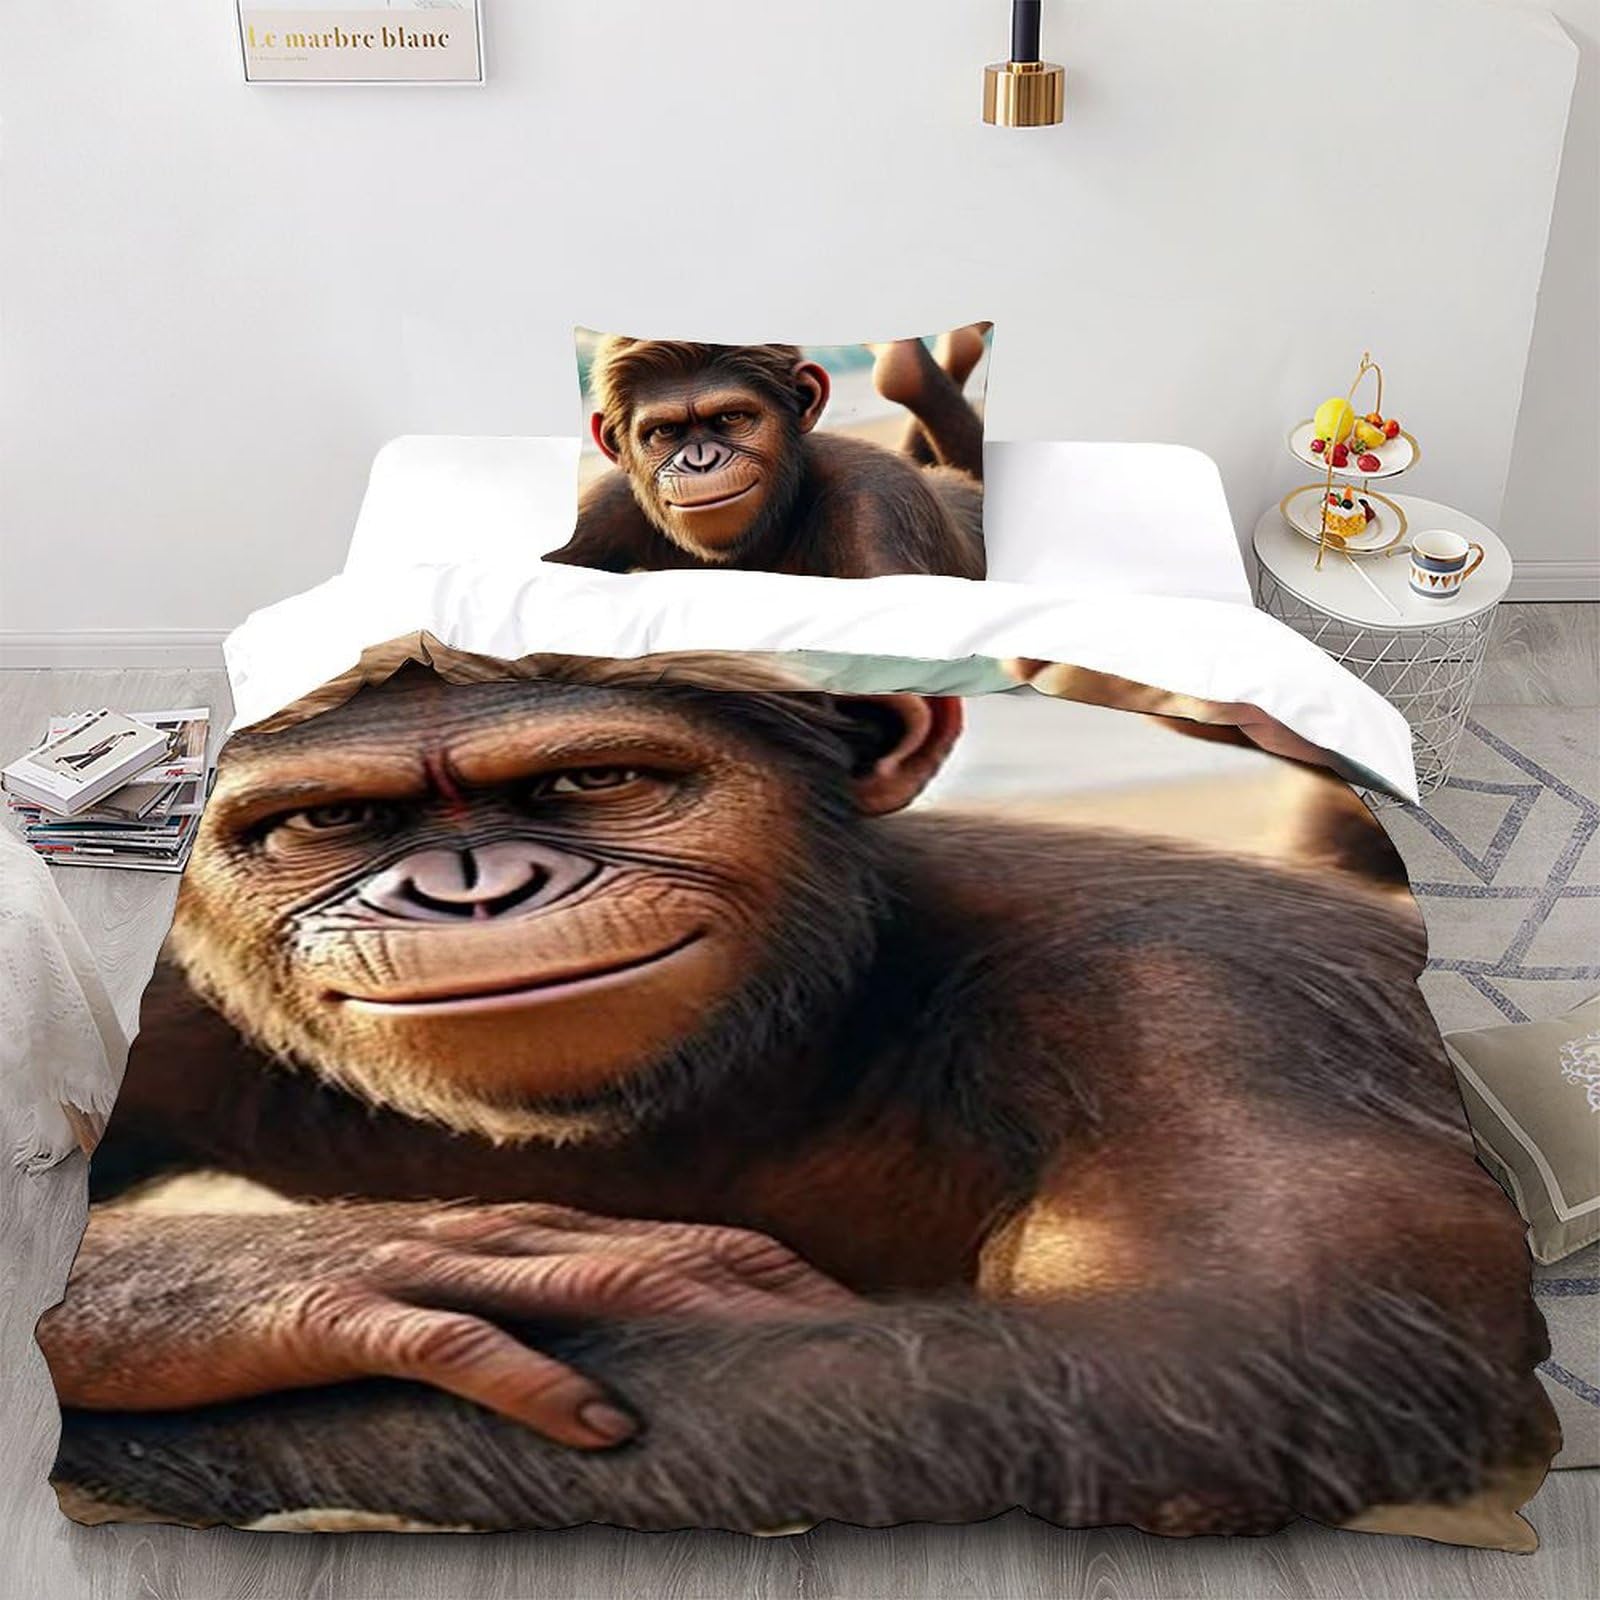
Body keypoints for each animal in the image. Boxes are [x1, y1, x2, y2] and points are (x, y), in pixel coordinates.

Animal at [40, 655, 1558, 1542]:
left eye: (597, 777)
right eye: (331, 820)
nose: (467, 888)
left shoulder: (1199, 998)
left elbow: (1218, 1349)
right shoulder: (186, 1005)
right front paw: (248, 1289)